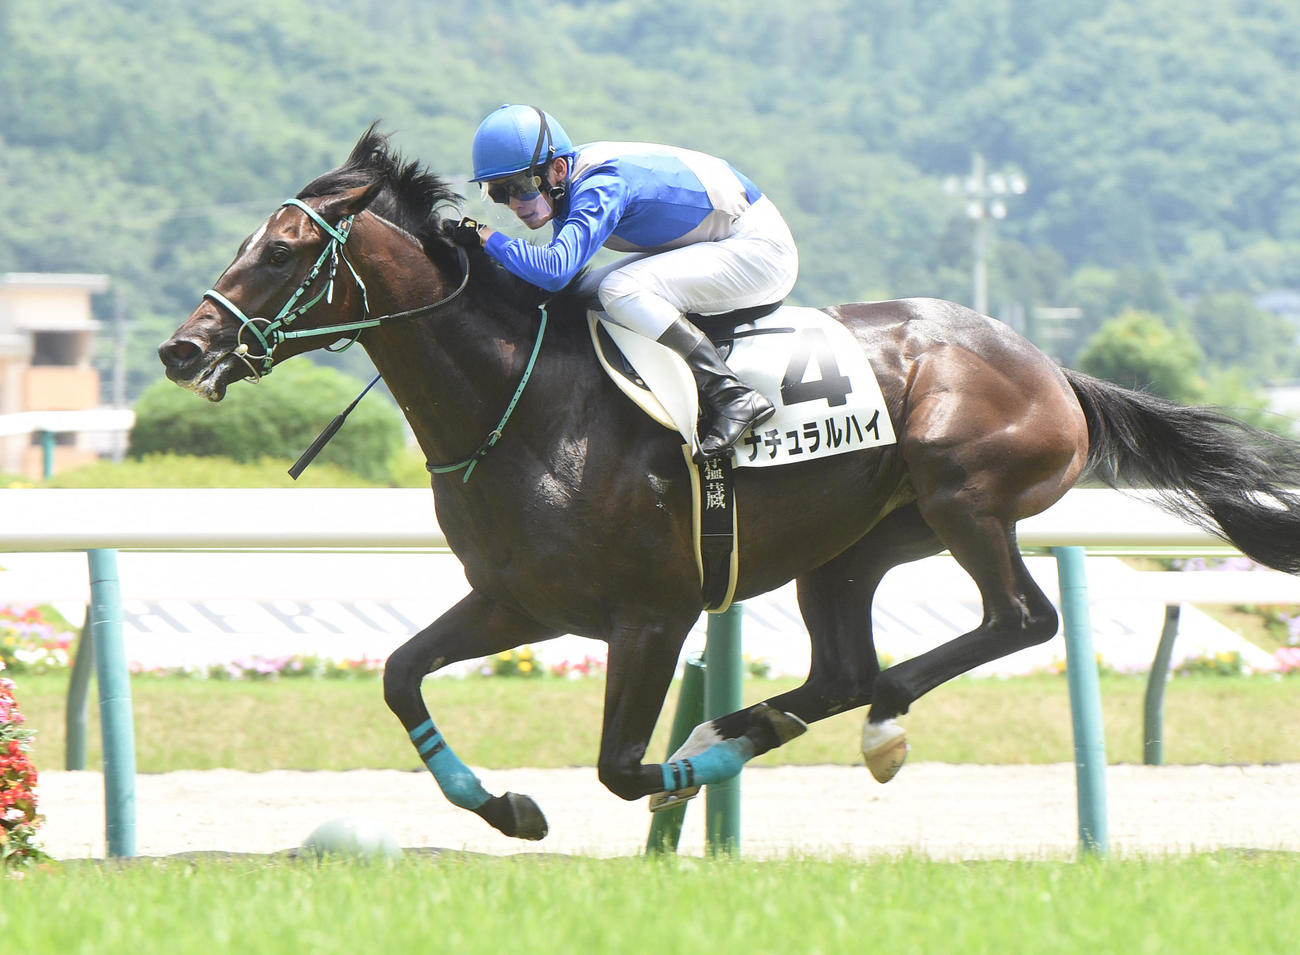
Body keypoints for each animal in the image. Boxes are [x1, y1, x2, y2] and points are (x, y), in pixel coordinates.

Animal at [159, 127, 1300, 842]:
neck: (521, 403)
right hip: (855, 544)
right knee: (845, 668)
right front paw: (505, 805)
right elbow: (400, 674)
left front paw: (681, 779)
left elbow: (621, 767)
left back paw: (858, 728)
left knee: (1016, 621)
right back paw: (764, 724)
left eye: (286, 248)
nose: (183, 348)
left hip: (963, 497)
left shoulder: (651, 611)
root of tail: (1048, 366)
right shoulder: (519, 599)